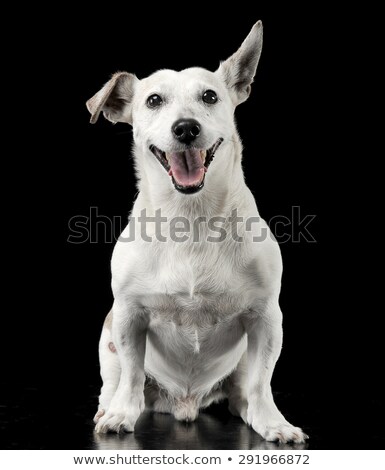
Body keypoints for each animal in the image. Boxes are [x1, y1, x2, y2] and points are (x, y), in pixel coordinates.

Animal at [85, 19, 308, 444]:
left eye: (210, 96)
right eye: (153, 101)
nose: (186, 127)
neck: (190, 219)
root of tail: (185, 403)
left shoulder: (267, 319)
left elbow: (263, 382)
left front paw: (273, 422)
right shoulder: (127, 317)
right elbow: (133, 374)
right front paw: (121, 414)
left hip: (239, 364)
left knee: (243, 391)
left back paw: (250, 412)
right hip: (108, 338)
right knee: (119, 382)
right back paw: (111, 407)